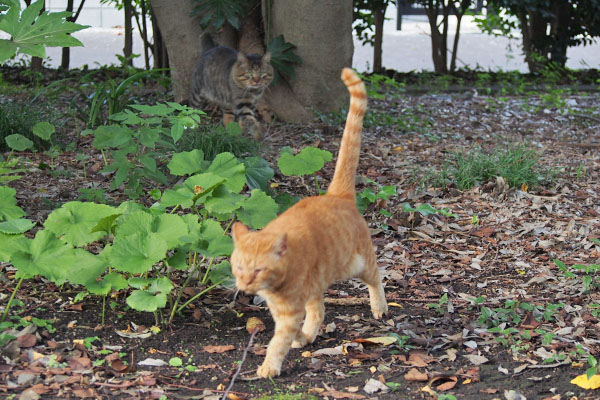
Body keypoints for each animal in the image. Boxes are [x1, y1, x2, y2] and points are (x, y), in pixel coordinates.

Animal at [230, 67, 390, 376]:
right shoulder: (286, 307)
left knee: (377, 278)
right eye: (239, 268)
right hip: (320, 281)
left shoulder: (288, 311)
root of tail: (337, 194)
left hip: (358, 264)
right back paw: (309, 334)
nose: (244, 285)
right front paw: (301, 337)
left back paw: (380, 306)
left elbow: (278, 341)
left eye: (258, 270)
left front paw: (269, 366)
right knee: (319, 310)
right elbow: (303, 322)